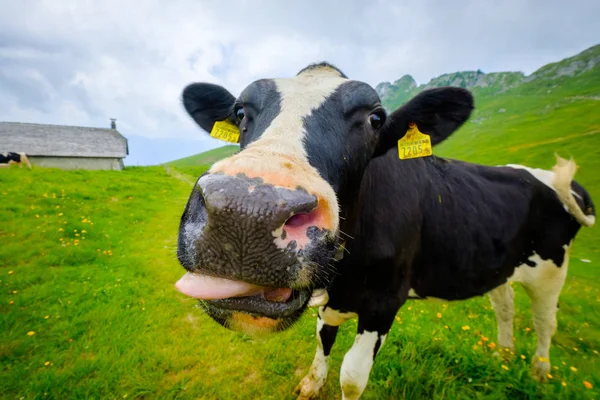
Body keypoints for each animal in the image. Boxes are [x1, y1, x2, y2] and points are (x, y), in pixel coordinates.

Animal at [173, 63, 596, 400]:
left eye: (375, 119)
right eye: (240, 110)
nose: (245, 212)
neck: (343, 277)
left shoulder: (384, 302)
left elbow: (352, 377)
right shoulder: (330, 297)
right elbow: (323, 339)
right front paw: (311, 383)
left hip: (551, 268)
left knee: (545, 321)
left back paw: (539, 372)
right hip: (501, 264)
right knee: (504, 305)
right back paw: (503, 355)